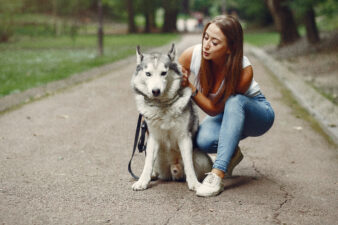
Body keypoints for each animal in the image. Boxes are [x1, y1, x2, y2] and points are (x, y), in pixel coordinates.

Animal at [130, 43, 211, 191]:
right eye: (148, 74)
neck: (163, 106)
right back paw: (152, 175)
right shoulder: (153, 138)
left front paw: (194, 184)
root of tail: (172, 170)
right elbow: (148, 163)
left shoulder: (184, 137)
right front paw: (142, 181)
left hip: (200, 158)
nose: (156, 91)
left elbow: (189, 164)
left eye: (164, 73)